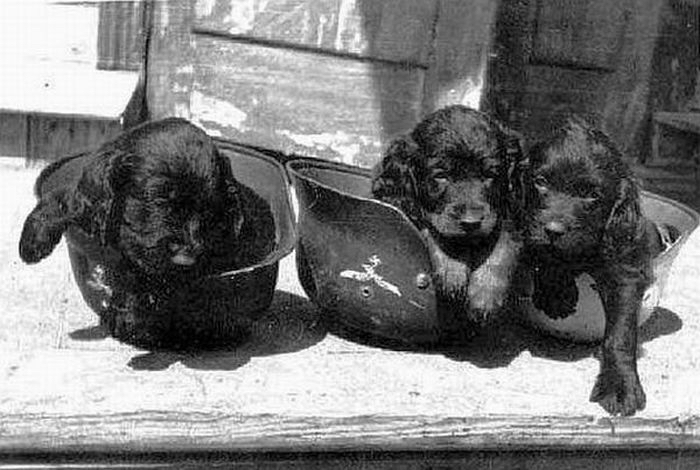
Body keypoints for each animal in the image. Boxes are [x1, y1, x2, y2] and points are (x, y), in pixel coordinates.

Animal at [19, 118, 276, 345]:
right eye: (158, 199)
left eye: (208, 210)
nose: (186, 258)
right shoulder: (91, 209)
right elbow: (61, 199)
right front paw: (32, 243)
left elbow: (146, 273)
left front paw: (130, 316)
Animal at [371, 105, 533, 326]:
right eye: (441, 176)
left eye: (490, 175)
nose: (471, 222)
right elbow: (441, 230)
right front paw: (453, 265)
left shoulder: (511, 208)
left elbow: (504, 242)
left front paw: (485, 294)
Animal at [525, 115, 676, 416]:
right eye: (540, 181)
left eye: (591, 194)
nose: (553, 230)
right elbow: (546, 254)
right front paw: (557, 294)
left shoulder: (625, 271)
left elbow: (620, 334)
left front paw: (620, 386)